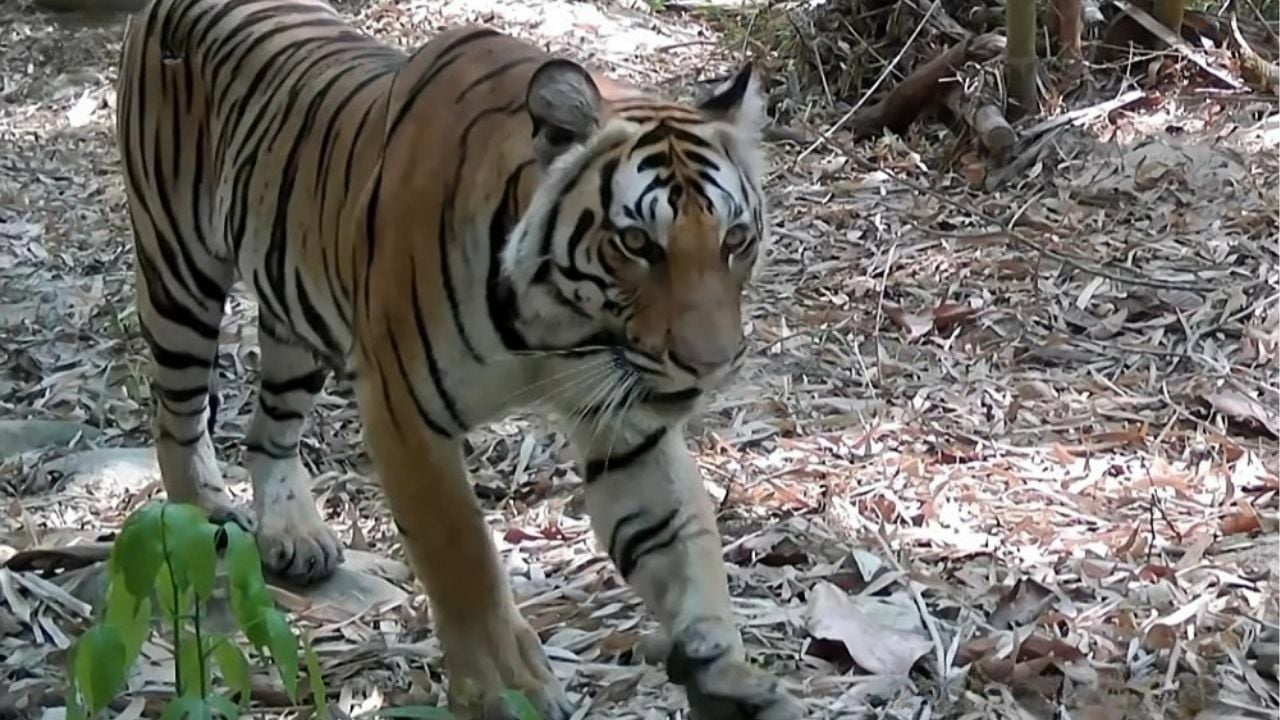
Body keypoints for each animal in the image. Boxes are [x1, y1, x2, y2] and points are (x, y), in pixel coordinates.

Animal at [115, 0, 804, 718]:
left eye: (735, 239)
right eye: (637, 243)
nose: (712, 365)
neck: (558, 326)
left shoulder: (626, 421)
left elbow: (680, 538)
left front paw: (723, 667)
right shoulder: (404, 412)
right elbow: (464, 557)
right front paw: (508, 687)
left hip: (294, 309)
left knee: (270, 428)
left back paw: (293, 534)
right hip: (179, 274)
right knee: (175, 415)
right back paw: (194, 531)